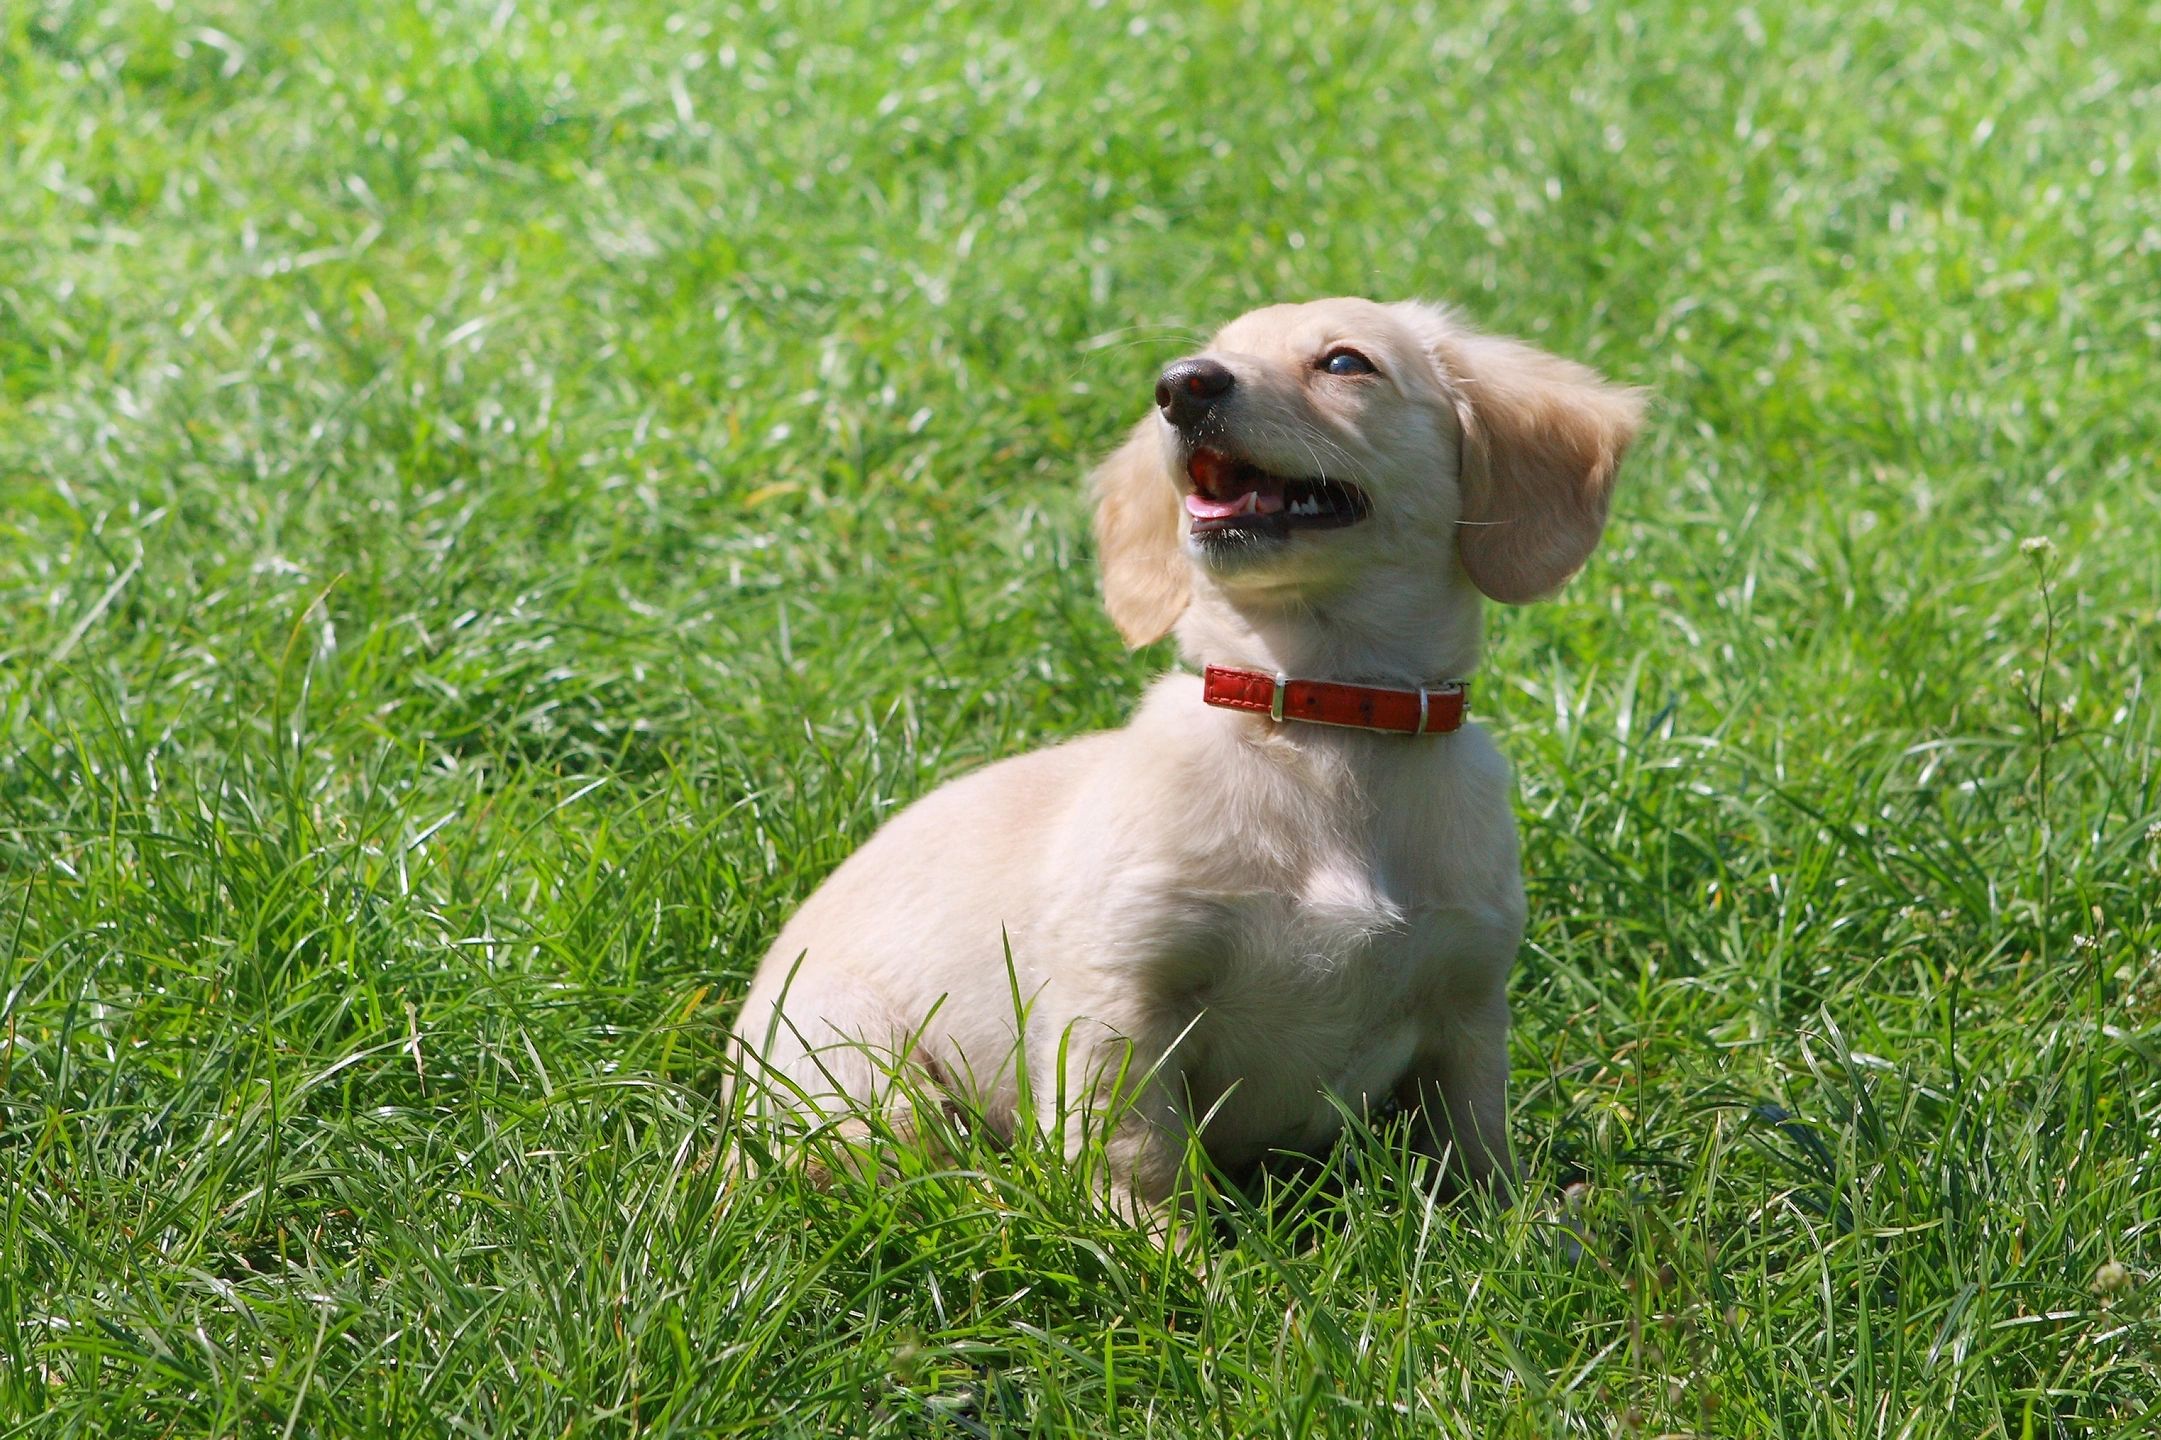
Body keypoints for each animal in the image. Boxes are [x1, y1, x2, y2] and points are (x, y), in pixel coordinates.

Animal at [726, 296, 1633, 1219]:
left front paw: (1517, 1226)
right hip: (859, 1071)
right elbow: (1140, 1159)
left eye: (1345, 363)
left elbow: (1474, 1149)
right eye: (1206, 355)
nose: (1180, 386)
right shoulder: (1122, 1004)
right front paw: (1161, 1248)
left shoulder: (1467, 1007)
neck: (1318, 717)